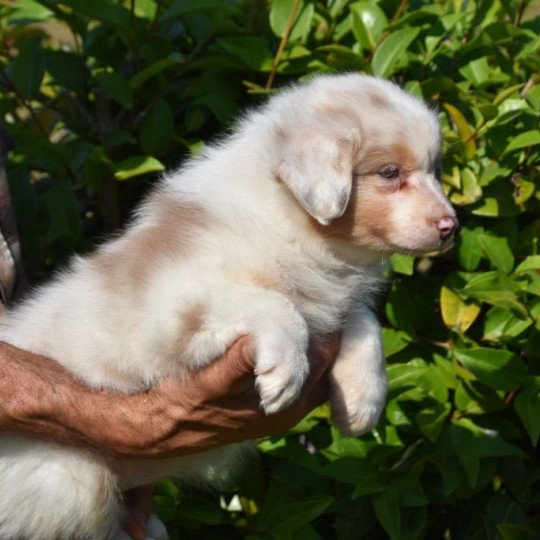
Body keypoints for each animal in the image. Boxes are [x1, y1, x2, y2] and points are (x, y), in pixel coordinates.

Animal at [0, 73, 456, 540]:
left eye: (435, 170)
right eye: (389, 173)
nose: (451, 227)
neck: (297, 227)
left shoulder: (329, 293)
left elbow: (362, 320)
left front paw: (364, 400)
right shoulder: (174, 310)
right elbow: (276, 304)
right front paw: (285, 373)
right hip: (71, 479)